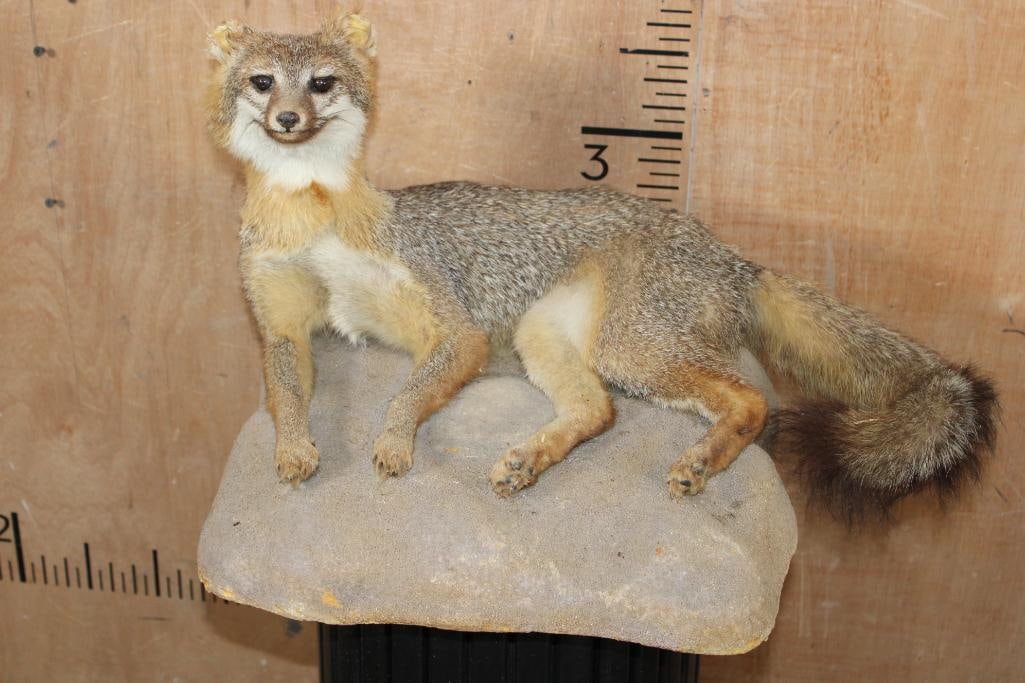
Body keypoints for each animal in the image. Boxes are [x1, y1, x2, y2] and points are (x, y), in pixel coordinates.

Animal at [206, 9, 997, 520]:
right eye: (262, 82)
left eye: (321, 85)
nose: (287, 120)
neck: (314, 213)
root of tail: (733, 256)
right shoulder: (281, 325)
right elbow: (286, 398)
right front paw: (294, 450)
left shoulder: (454, 324)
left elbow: (406, 395)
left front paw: (395, 443)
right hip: (547, 340)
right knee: (600, 410)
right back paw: (528, 460)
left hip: (630, 348)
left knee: (750, 401)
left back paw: (698, 463)